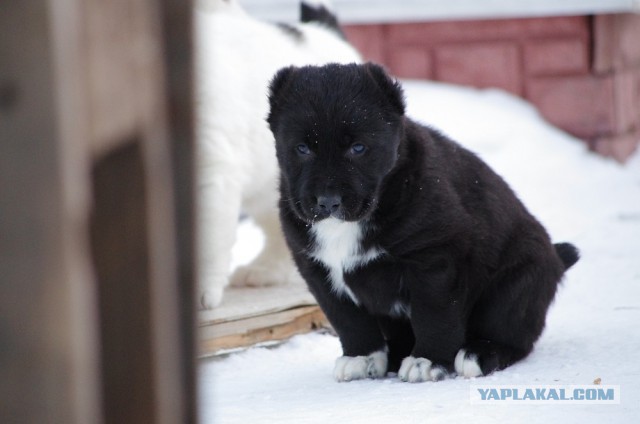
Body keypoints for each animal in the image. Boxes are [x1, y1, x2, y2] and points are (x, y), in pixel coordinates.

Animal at [266, 63, 580, 384]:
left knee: (513, 335)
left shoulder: (435, 260)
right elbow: (347, 319)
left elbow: (434, 314)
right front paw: (360, 356)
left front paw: (426, 360)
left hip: (516, 286)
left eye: (358, 148)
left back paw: (478, 354)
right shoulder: (318, 271)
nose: (328, 202)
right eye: (303, 149)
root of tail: (557, 257)